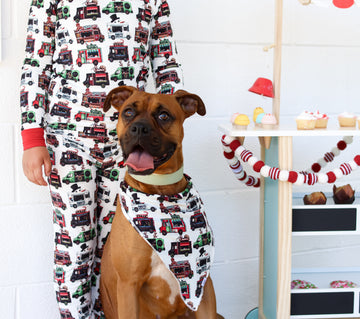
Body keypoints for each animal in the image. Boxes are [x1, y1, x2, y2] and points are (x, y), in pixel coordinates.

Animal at [100, 87, 221, 319]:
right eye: (128, 112)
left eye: (163, 116)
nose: (139, 128)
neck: (160, 190)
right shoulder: (128, 286)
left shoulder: (203, 285)